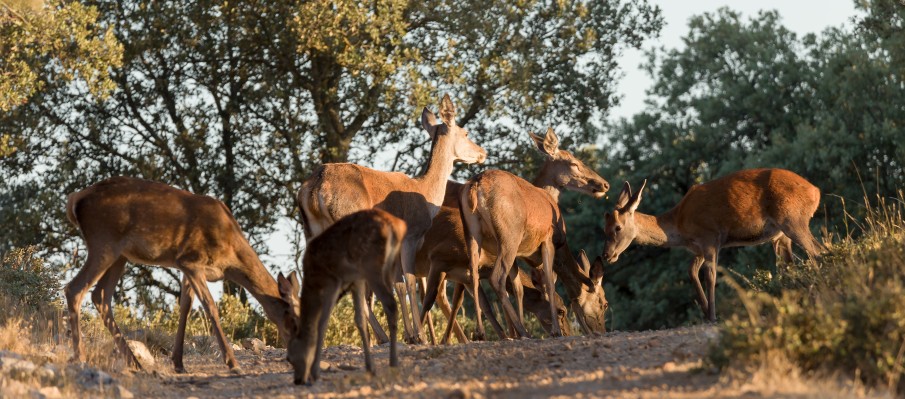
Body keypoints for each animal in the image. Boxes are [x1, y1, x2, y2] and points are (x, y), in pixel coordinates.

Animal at [67, 177, 294, 374]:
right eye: (292, 315)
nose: (292, 356)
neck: (230, 254)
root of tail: (76, 199)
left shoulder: (184, 266)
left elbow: (185, 306)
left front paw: (178, 363)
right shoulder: (191, 260)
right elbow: (210, 306)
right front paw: (233, 363)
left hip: (120, 255)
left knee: (100, 295)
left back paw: (134, 363)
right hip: (104, 242)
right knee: (74, 288)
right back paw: (81, 358)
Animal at [278, 209, 406, 388]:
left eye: (289, 358)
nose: (298, 380)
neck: (313, 280)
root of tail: (397, 226)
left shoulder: (333, 280)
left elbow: (322, 322)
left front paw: (315, 373)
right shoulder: (356, 280)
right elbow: (359, 319)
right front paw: (370, 368)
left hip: (371, 265)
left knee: (391, 305)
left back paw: (393, 364)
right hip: (390, 267)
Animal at [298, 95, 488, 346]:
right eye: (465, 132)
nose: (483, 152)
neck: (426, 193)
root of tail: (315, 188)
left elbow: (398, 283)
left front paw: (409, 334)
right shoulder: (410, 236)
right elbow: (409, 281)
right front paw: (419, 336)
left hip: (311, 229)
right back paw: (382, 336)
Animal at [460, 129, 608, 340]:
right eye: (604, 303)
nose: (604, 184)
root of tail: (475, 185)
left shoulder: (520, 255)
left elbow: (519, 288)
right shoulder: (547, 242)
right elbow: (550, 284)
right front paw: (554, 331)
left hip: (472, 234)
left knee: (473, 276)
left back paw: (482, 333)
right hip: (509, 236)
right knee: (496, 278)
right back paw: (522, 332)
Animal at [604, 168, 824, 322]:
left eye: (617, 227)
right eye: (603, 227)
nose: (607, 255)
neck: (680, 226)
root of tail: (816, 192)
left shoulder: (709, 237)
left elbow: (710, 275)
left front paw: (712, 315)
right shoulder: (699, 248)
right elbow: (691, 271)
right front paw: (704, 311)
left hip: (792, 219)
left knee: (817, 251)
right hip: (780, 234)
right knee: (790, 264)